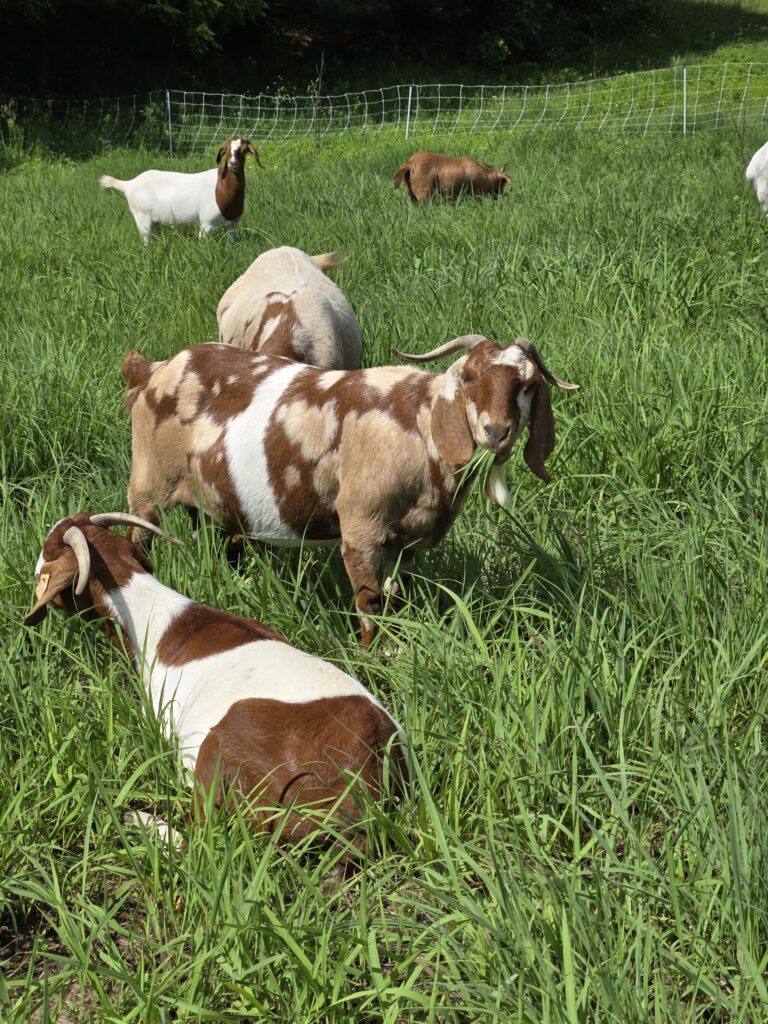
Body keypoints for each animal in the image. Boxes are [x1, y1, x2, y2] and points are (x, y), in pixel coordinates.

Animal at [23, 512, 406, 842]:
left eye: (46, 551)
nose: (34, 572)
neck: (150, 610)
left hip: (222, 749)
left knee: (199, 838)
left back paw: (137, 819)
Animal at [99, 137, 264, 244]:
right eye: (227, 150)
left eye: (244, 150)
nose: (233, 164)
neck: (222, 188)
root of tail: (129, 184)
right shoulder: (207, 223)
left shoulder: (233, 225)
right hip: (141, 216)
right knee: (146, 239)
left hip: (153, 220)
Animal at [121, 335, 578, 647]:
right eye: (468, 377)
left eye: (529, 384)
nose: (496, 431)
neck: (420, 426)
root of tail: (152, 372)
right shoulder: (361, 526)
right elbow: (369, 601)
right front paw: (376, 657)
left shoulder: (404, 542)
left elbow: (395, 598)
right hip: (147, 485)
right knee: (138, 533)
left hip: (211, 501)